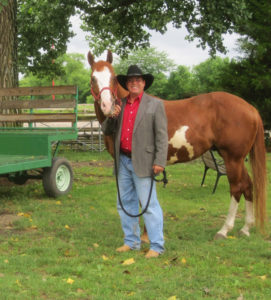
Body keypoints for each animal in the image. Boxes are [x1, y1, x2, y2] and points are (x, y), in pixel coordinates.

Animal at [87, 50, 268, 240]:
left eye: (113, 78)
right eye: (93, 78)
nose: (108, 105)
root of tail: (250, 108)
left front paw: (145, 235)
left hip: (232, 158)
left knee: (237, 188)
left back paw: (224, 230)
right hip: (238, 160)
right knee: (248, 185)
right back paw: (246, 228)